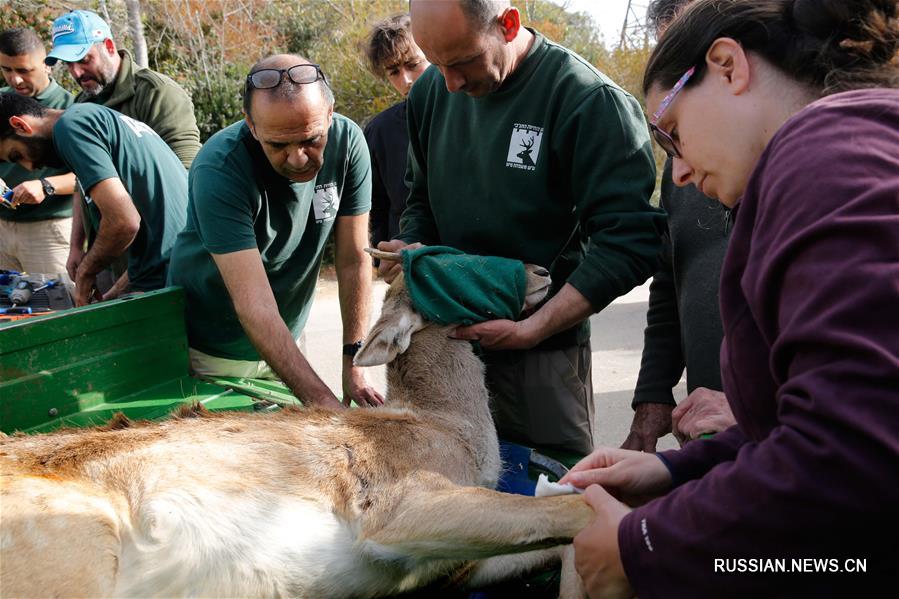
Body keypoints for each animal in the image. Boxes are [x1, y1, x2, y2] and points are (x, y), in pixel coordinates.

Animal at [0, 251, 596, 596]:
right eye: (453, 264)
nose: (544, 271)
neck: (450, 430)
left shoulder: (452, 568)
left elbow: (556, 540)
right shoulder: (397, 504)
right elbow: (575, 510)